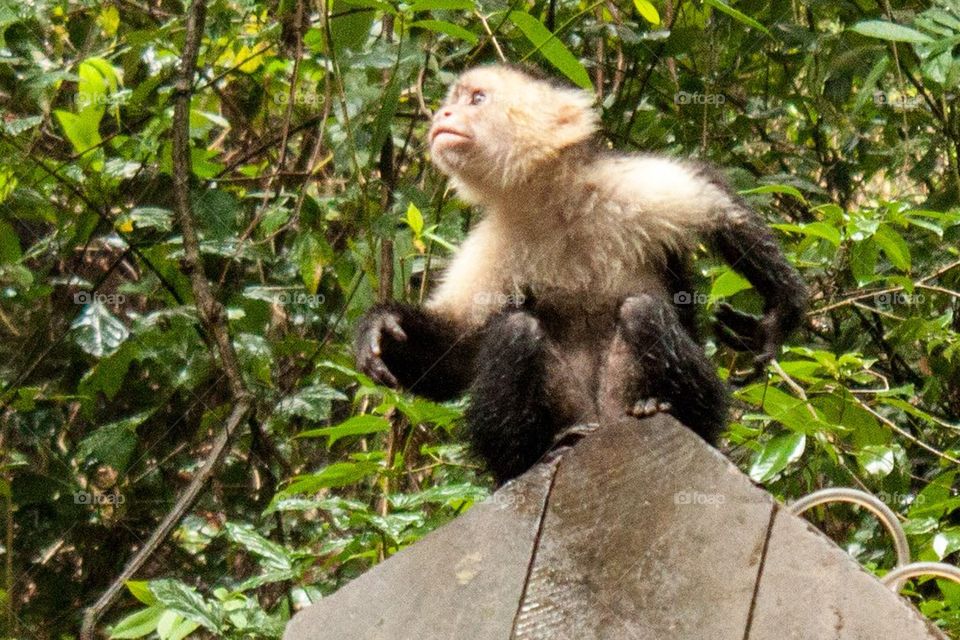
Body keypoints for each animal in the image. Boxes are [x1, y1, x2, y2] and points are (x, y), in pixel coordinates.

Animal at [356, 65, 808, 485]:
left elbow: (719, 207)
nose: (443, 114)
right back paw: (533, 459)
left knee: (643, 313)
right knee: (516, 332)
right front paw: (383, 326)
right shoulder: (494, 238)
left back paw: (660, 407)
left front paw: (777, 317)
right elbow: (457, 351)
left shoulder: (622, 185)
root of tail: (601, 424)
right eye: (454, 101)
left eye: (477, 99)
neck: (556, 204)